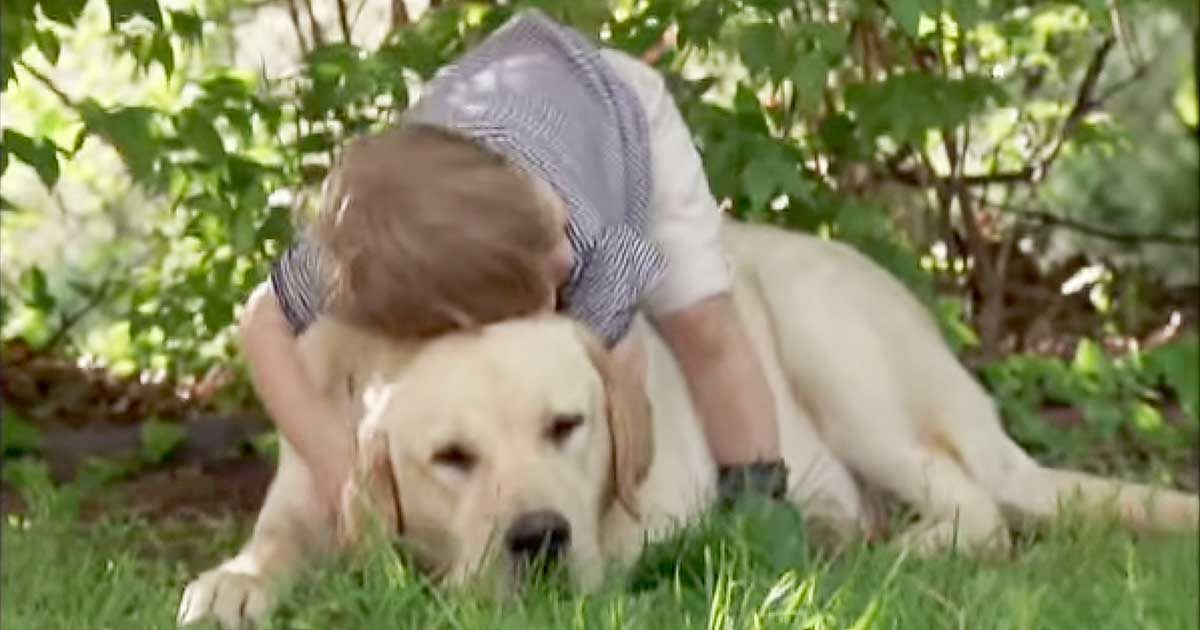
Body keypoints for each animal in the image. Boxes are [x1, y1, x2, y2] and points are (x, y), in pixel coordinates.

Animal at [177, 218, 1200, 624]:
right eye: (450, 457)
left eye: (568, 427)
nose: (539, 539)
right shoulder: (305, 483)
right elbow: (276, 540)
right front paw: (233, 585)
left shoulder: (646, 501)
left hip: (834, 351)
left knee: (974, 508)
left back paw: (890, 552)